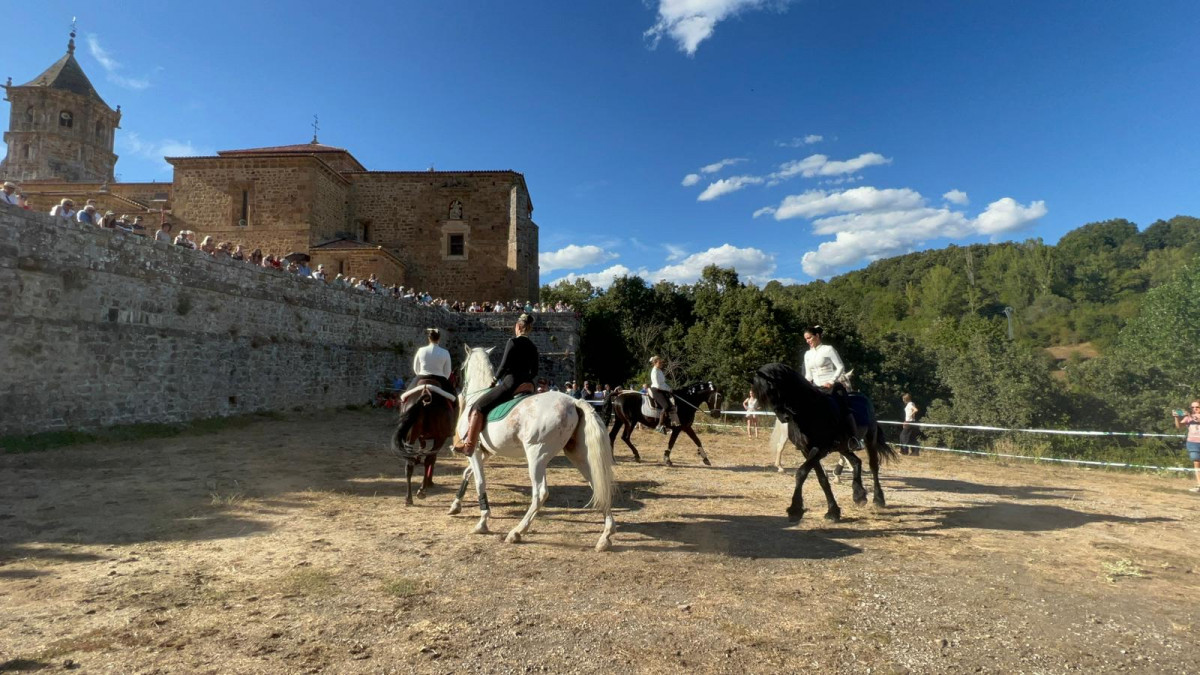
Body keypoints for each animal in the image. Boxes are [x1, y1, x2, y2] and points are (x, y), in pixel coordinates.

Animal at [391, 374, 456, 502]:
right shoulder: (439, 438)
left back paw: (408, 498)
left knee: (409, 463)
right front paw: (429, 482)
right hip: (440, 438)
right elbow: (432, 458)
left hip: (410, 436)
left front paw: (418, 458)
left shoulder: (421, 437)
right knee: (429, 459)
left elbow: (423, 447)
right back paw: (422, 490)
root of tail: (426, 394)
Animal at [753, 362, 897, 521]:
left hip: (870, 439)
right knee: (856, 461)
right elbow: (821, 478)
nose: (784, 417)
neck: (809, 411)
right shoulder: (807, 450)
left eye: (774, 388)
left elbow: (801, 472)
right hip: (843, 447)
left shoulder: (820, 449)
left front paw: (795, 509)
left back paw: (878, 499)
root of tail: (863, 397)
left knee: (873, 466)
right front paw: (832, 511)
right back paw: (859, 495)